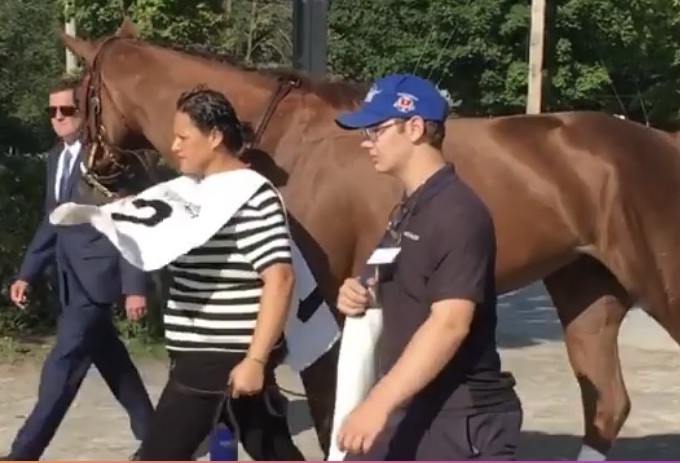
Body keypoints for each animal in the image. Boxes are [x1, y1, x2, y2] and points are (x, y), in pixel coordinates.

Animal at [59, 20, 680, 458]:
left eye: (82, 93)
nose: (94, 170)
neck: (282, 143)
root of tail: (663, 142)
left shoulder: (319, 310)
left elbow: (329, 414)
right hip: (586, 290)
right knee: (607, 404)